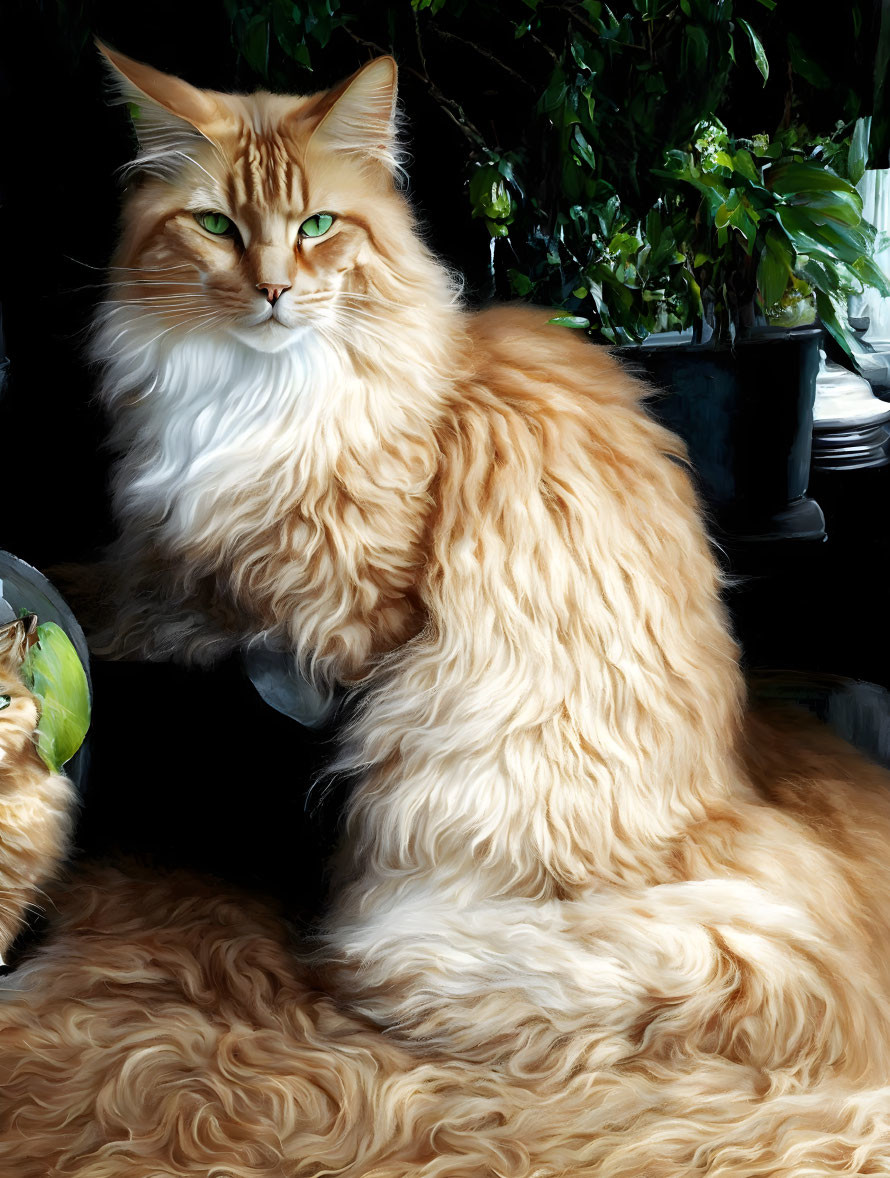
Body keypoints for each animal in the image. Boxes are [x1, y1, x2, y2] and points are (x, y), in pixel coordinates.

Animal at [1, 41, 890, 1173]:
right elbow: (149, 589)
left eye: (316, 226)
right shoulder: (179, 552)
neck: (255, 391)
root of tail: (725, 808)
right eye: (215, 226)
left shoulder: (358, 604)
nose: (272, 290)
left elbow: (275, 650)